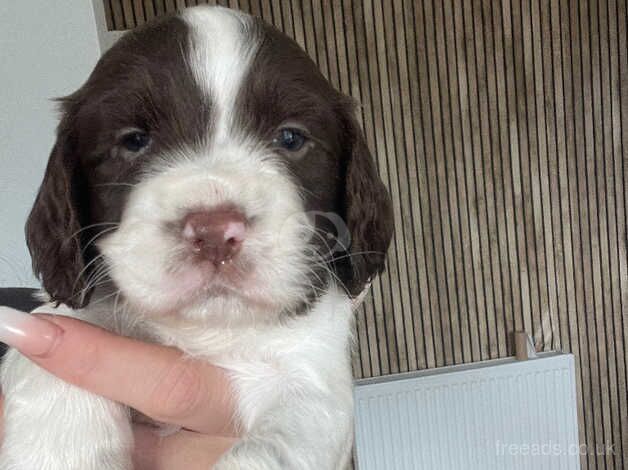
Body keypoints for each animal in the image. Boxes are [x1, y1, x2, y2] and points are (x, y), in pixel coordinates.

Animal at [0, 4, 392, 470]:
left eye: (291, 137)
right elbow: (59, 333)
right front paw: (60, 450)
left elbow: (275, 441)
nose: (215, 232)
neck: (207, 330)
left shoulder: (313, 383)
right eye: (134, 141)